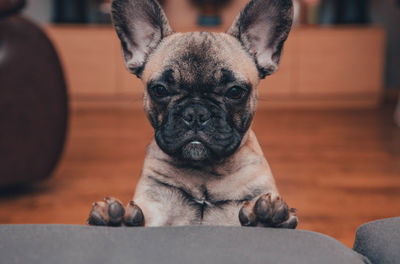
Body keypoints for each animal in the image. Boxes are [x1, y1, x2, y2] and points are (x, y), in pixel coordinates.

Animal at [89, 0, 298, 228]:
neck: (203, 174)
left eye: (235, 92)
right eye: (159, 90)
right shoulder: (155, 203)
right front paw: (119, 220)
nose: (196, 113)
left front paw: (265, 219)